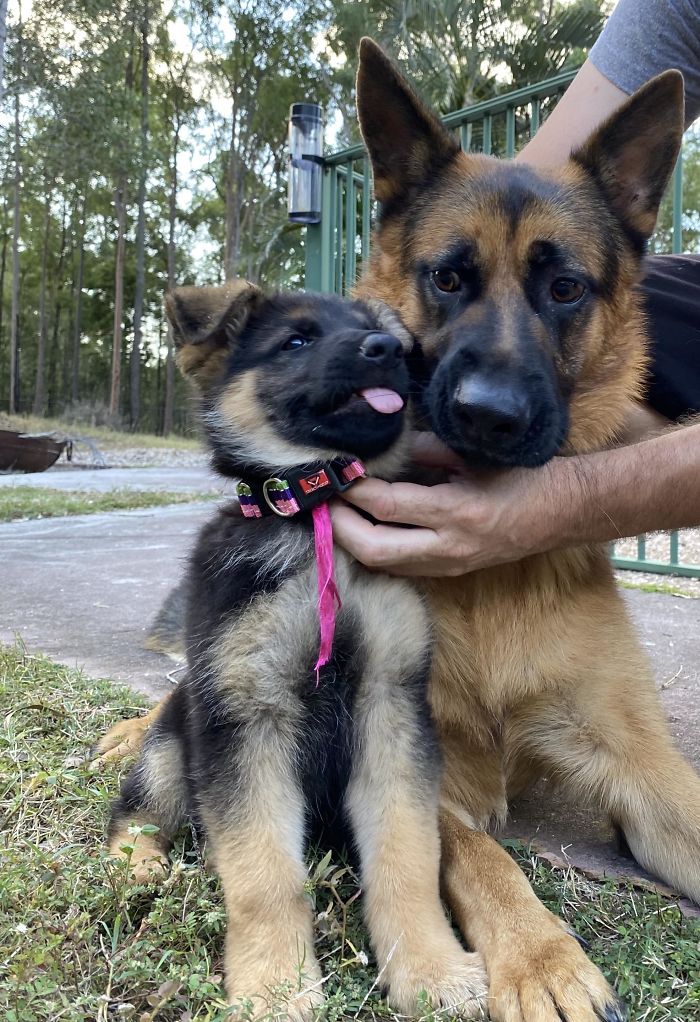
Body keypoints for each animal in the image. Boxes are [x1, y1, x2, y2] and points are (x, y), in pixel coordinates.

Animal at [107, 286, 486, 1021]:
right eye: (295, 342)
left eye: (376, 332)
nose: (387, 350)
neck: (315, 516)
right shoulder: (244, 719)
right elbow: (263, 875)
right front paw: (276, 989)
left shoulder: (392, 709)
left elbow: (407, 856)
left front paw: (431, 970)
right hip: (173, 739)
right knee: (133, 813)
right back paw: (135, 868)